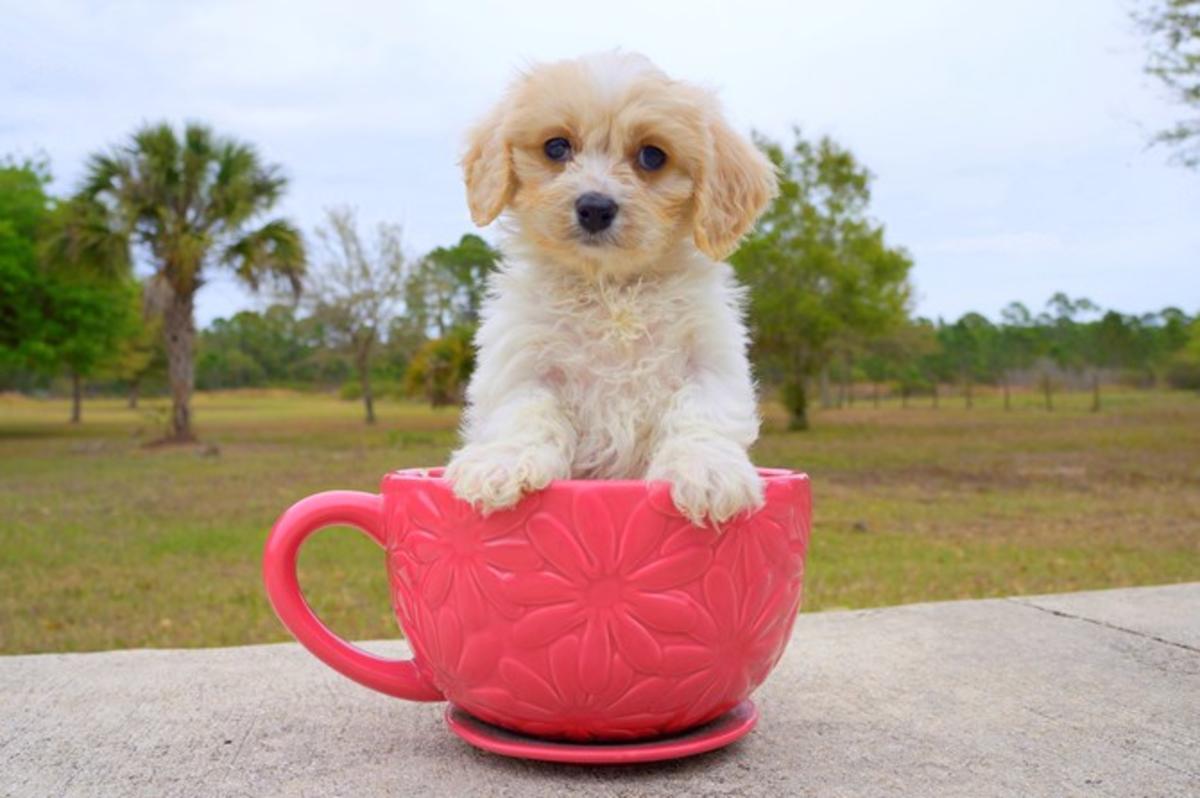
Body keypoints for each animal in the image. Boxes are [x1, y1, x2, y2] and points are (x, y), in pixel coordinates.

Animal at [444, 52, 777, 528]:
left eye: (652, 156)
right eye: (557, 147)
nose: (595, 207)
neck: (610, 289)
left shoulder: (709, 358)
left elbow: (699, 414)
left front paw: (709, 472)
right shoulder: (522, 362)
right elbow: (526, 412)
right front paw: (501, 463)